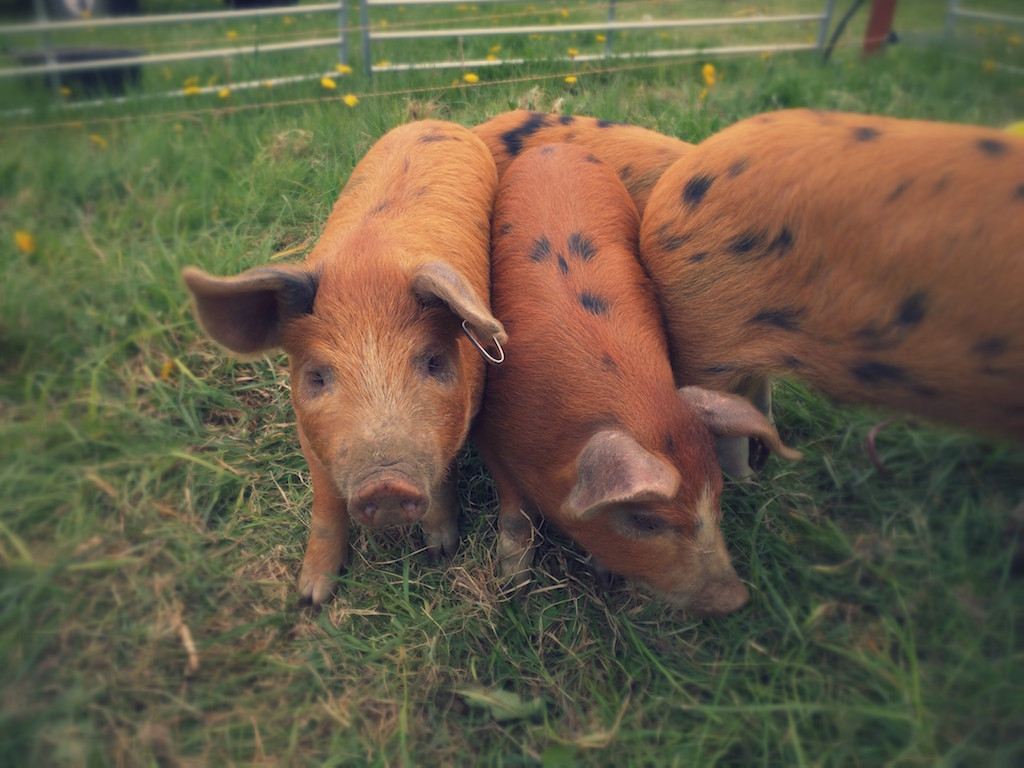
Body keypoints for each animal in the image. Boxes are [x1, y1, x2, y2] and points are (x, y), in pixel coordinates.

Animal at [184, 120, 507, 606]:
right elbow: (326, 506)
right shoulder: (310, 437)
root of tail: (431, 122)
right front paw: (312, 597)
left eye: (433, 362)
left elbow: (443, 477)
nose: (387, 484)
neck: (366, 266)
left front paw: (441, 553)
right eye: (316, 376)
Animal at [471, 141, 798, 618]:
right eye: (646, 520)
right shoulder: (490, 430)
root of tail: (554, 146)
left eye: (717, 494)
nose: (736, 599)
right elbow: (515, 510)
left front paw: (601, 577)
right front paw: (514, 584)